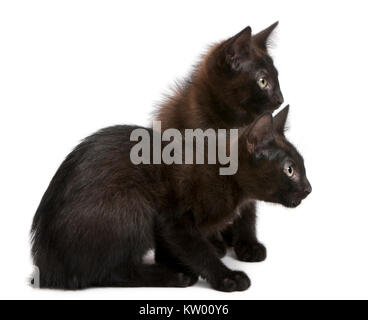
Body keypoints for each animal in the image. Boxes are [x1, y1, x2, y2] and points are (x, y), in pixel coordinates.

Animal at [31, 106, 312, 292]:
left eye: (301, 166)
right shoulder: (174, 219)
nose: (309, 188)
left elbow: (173, 247)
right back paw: (174, 276)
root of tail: (47, 267)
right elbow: (199, 250)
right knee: (108, 272)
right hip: (132, 204)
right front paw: (226, 277)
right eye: (290, 170)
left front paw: (175, 261)